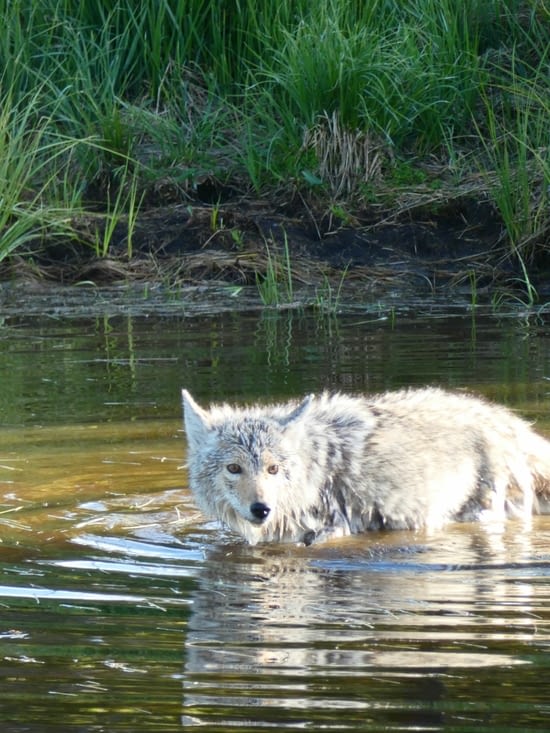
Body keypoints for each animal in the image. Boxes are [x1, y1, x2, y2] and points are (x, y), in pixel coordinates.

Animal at [181, 387, 550, 545]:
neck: (313, 471)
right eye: (234, 468)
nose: (262, 509)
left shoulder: (332, 529)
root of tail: (515, 426)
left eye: (273, 469)